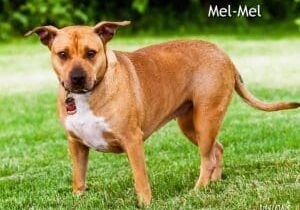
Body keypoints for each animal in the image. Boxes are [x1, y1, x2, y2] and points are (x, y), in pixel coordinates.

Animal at [26, 21, 300, 207]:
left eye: (91, 53)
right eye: (62, 54)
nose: (77, 78)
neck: (91, 92)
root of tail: (225, 55)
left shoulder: (132, 141)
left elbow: (140, 178)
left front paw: (145, 203)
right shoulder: (76, 144)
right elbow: (79, 178)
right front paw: (78, 199)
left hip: (206, 118)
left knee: (207, 158)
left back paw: (198, 190)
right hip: (190, 125)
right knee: (217, 150)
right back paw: (214, 183)